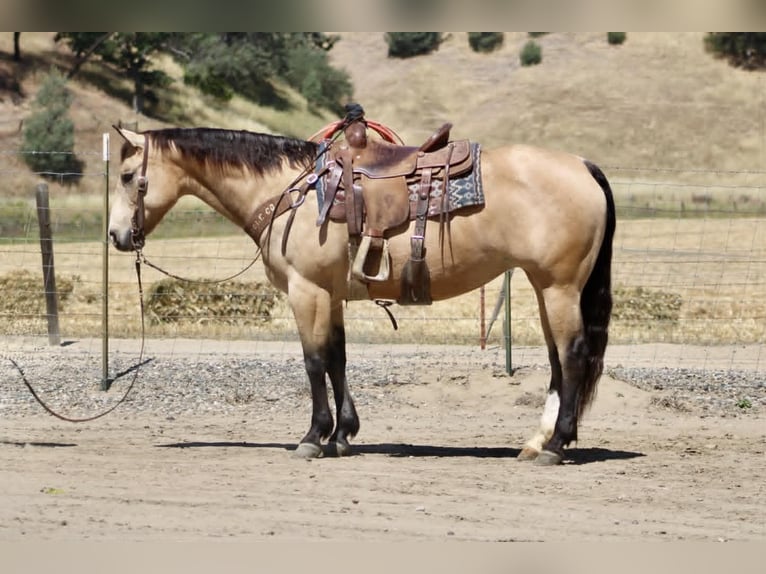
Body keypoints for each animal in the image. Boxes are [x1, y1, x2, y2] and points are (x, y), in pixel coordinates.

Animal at [108, 121, 615, 465]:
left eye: (129, 175)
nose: (116, 236)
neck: (289, 192)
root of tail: (582, 166)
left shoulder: (306, 290)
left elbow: (313, 361)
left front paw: (313, 437)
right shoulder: (330, 296)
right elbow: (337, 358)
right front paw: (342, 434)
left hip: (558, 286)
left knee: (572, 355)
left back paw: (556, 445)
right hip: (544, 286)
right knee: (556, 360)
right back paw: (535, 442)